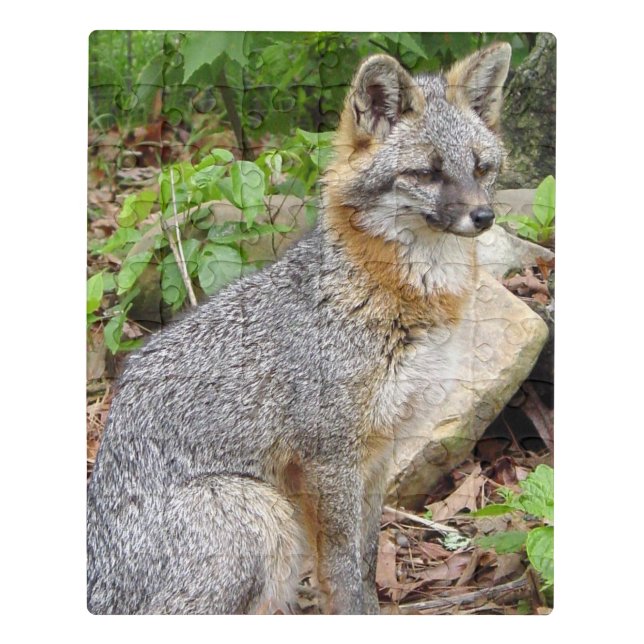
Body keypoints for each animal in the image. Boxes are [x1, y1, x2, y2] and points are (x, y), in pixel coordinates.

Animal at [87, 42, 512, 614]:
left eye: (481, 167)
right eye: (426, 173)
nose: (483, 216)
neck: (393, 301)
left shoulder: (379, 453)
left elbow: (366, 555)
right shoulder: (330, 456)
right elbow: (342, 568)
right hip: (262, 514)